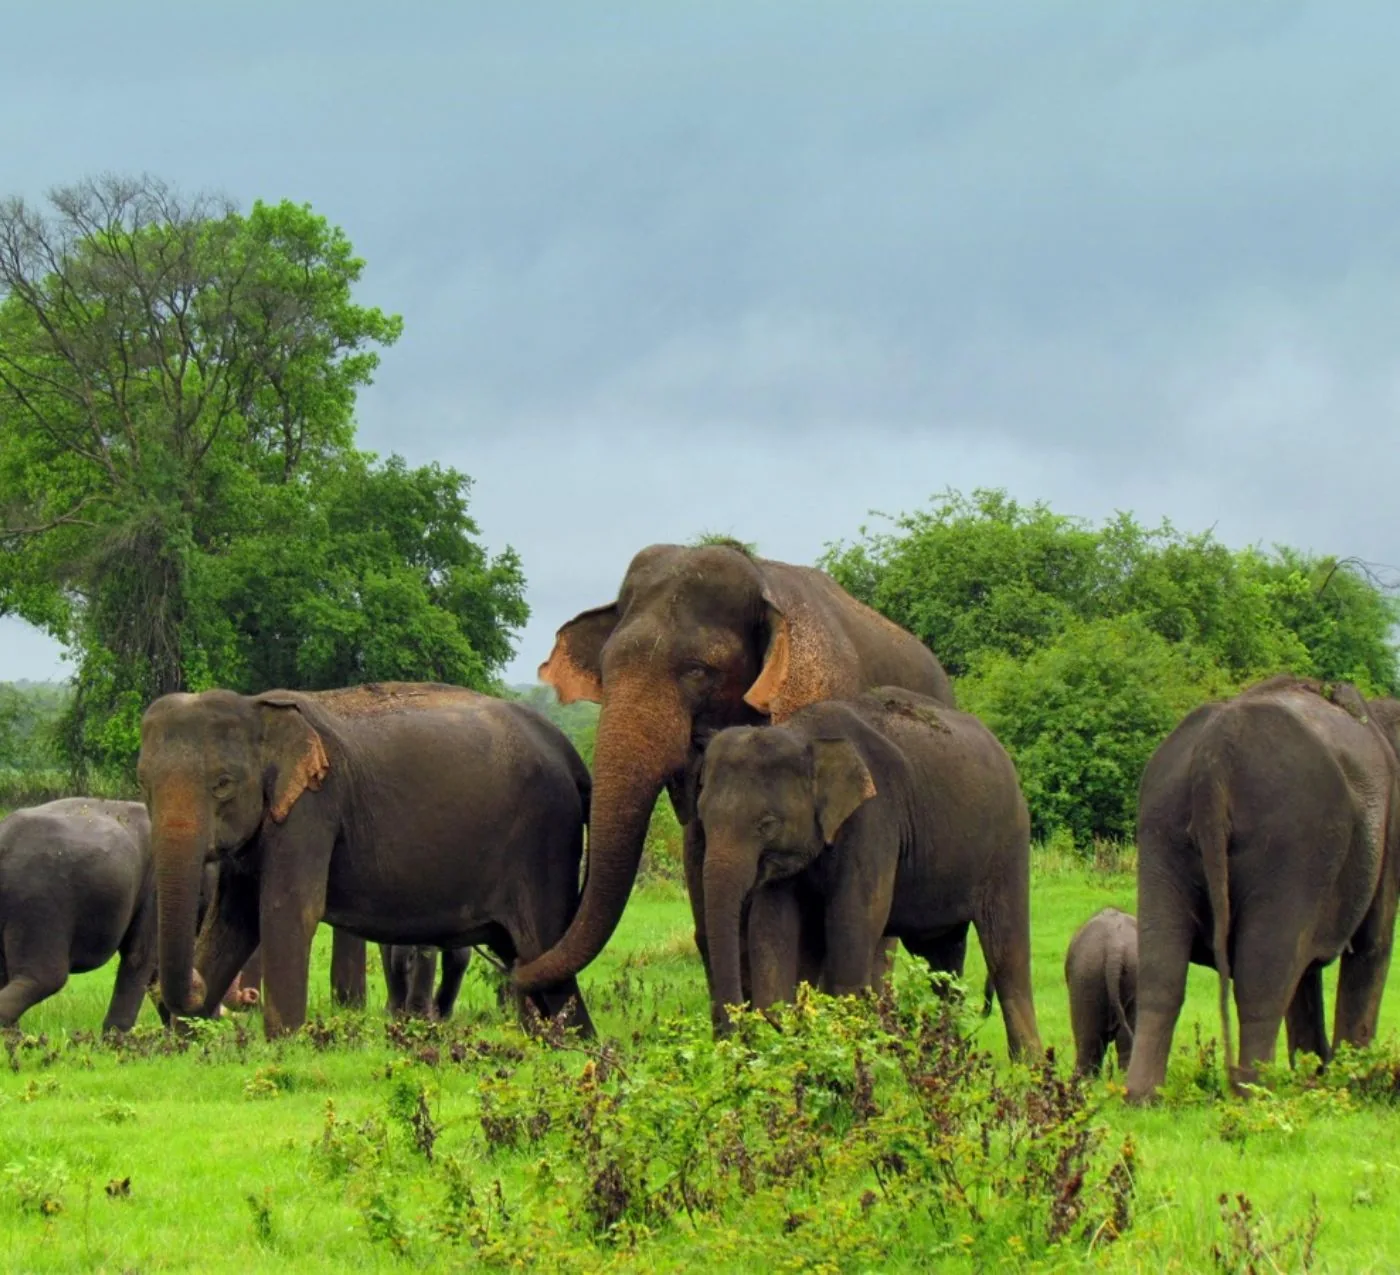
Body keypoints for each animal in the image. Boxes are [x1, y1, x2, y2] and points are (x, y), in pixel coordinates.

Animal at [138, 681, 594, 1039]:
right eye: (143, 783)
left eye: (223, 785)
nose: (196, 987)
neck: (257, 707)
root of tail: (569, 751)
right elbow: (233, 920)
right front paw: (185, 1043)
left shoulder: (314, 806)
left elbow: (288, 910)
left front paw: (283, 1045)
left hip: (544, 842)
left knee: (543, 946)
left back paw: (576, 1045)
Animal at [692, 687, 1042, 1059]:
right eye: (702, 816)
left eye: (767, 824)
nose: (733, 1043)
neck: (803, 733)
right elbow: (772, 927)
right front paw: (787, 1044)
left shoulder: (874, 819)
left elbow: (852, 920)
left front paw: (843, 1050)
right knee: (940, 958)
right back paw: (943, 1054)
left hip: (1009, 843)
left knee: (1007, 953)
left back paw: (1028, 1064)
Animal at [1125, 676, 1400, 1104]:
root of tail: (1213, 754)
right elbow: (1372, 946)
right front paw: (1349, 1084)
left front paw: (1316, 1076)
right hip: (1291, 838)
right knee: (1262, 975)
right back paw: (1256, 1093)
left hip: (1159, 826)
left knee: (1161, 969)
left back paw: (1142, 1097)